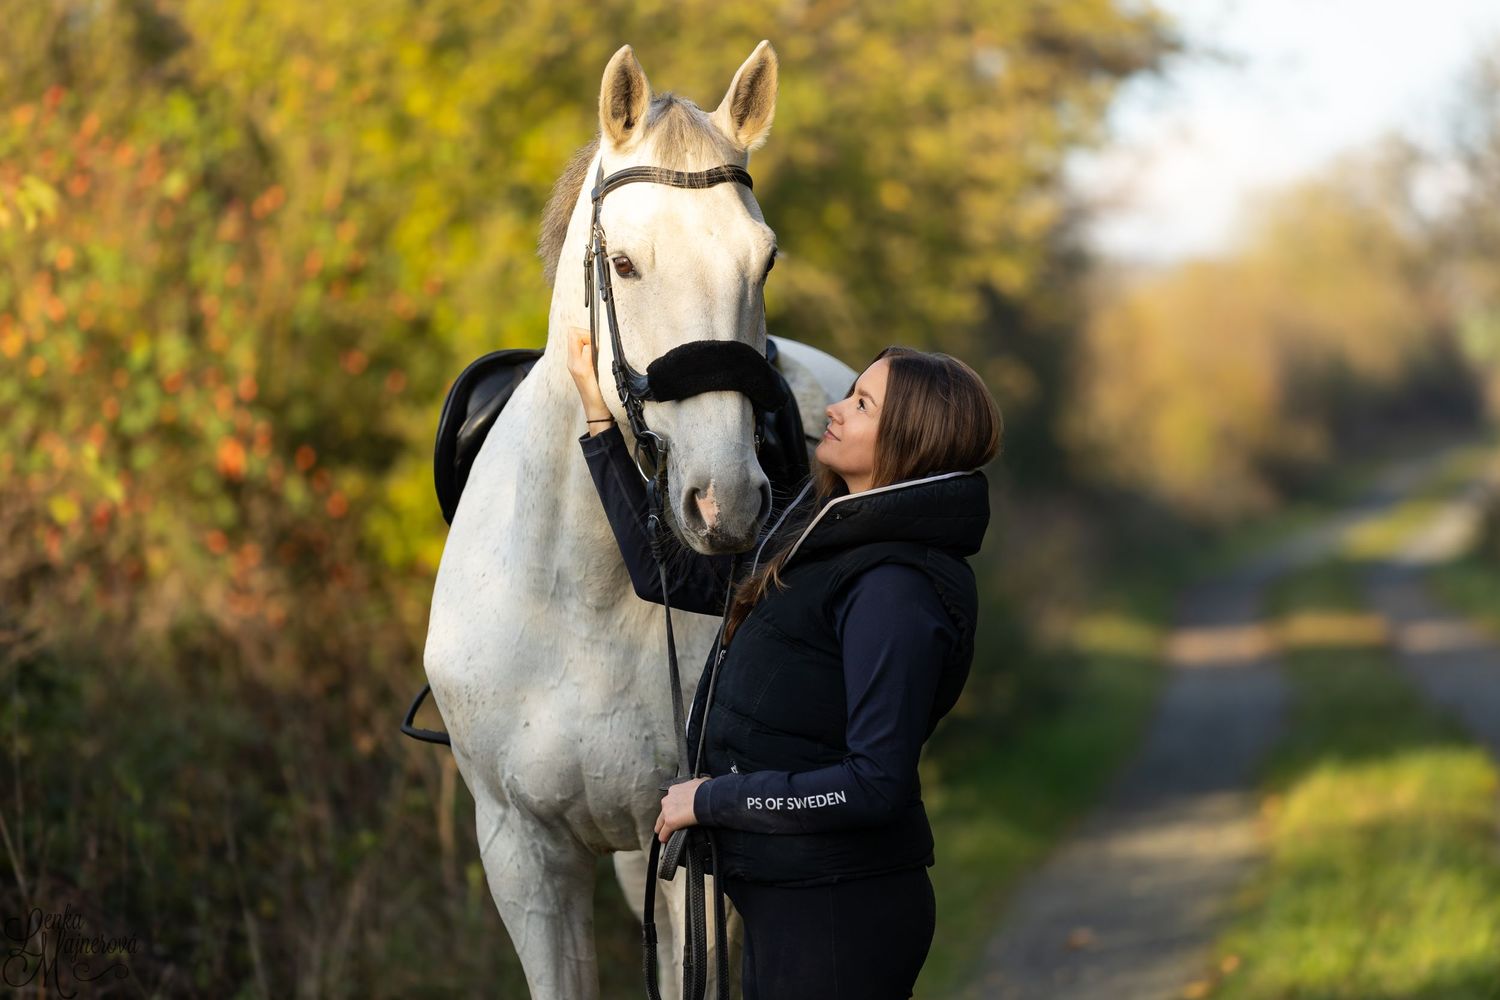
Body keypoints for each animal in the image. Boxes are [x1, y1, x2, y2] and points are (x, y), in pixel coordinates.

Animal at [423, 41, 858, 998]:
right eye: (621, 264)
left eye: (765, 261)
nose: (724, 501)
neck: (581, 589)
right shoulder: (524, 852)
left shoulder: (693, 856)